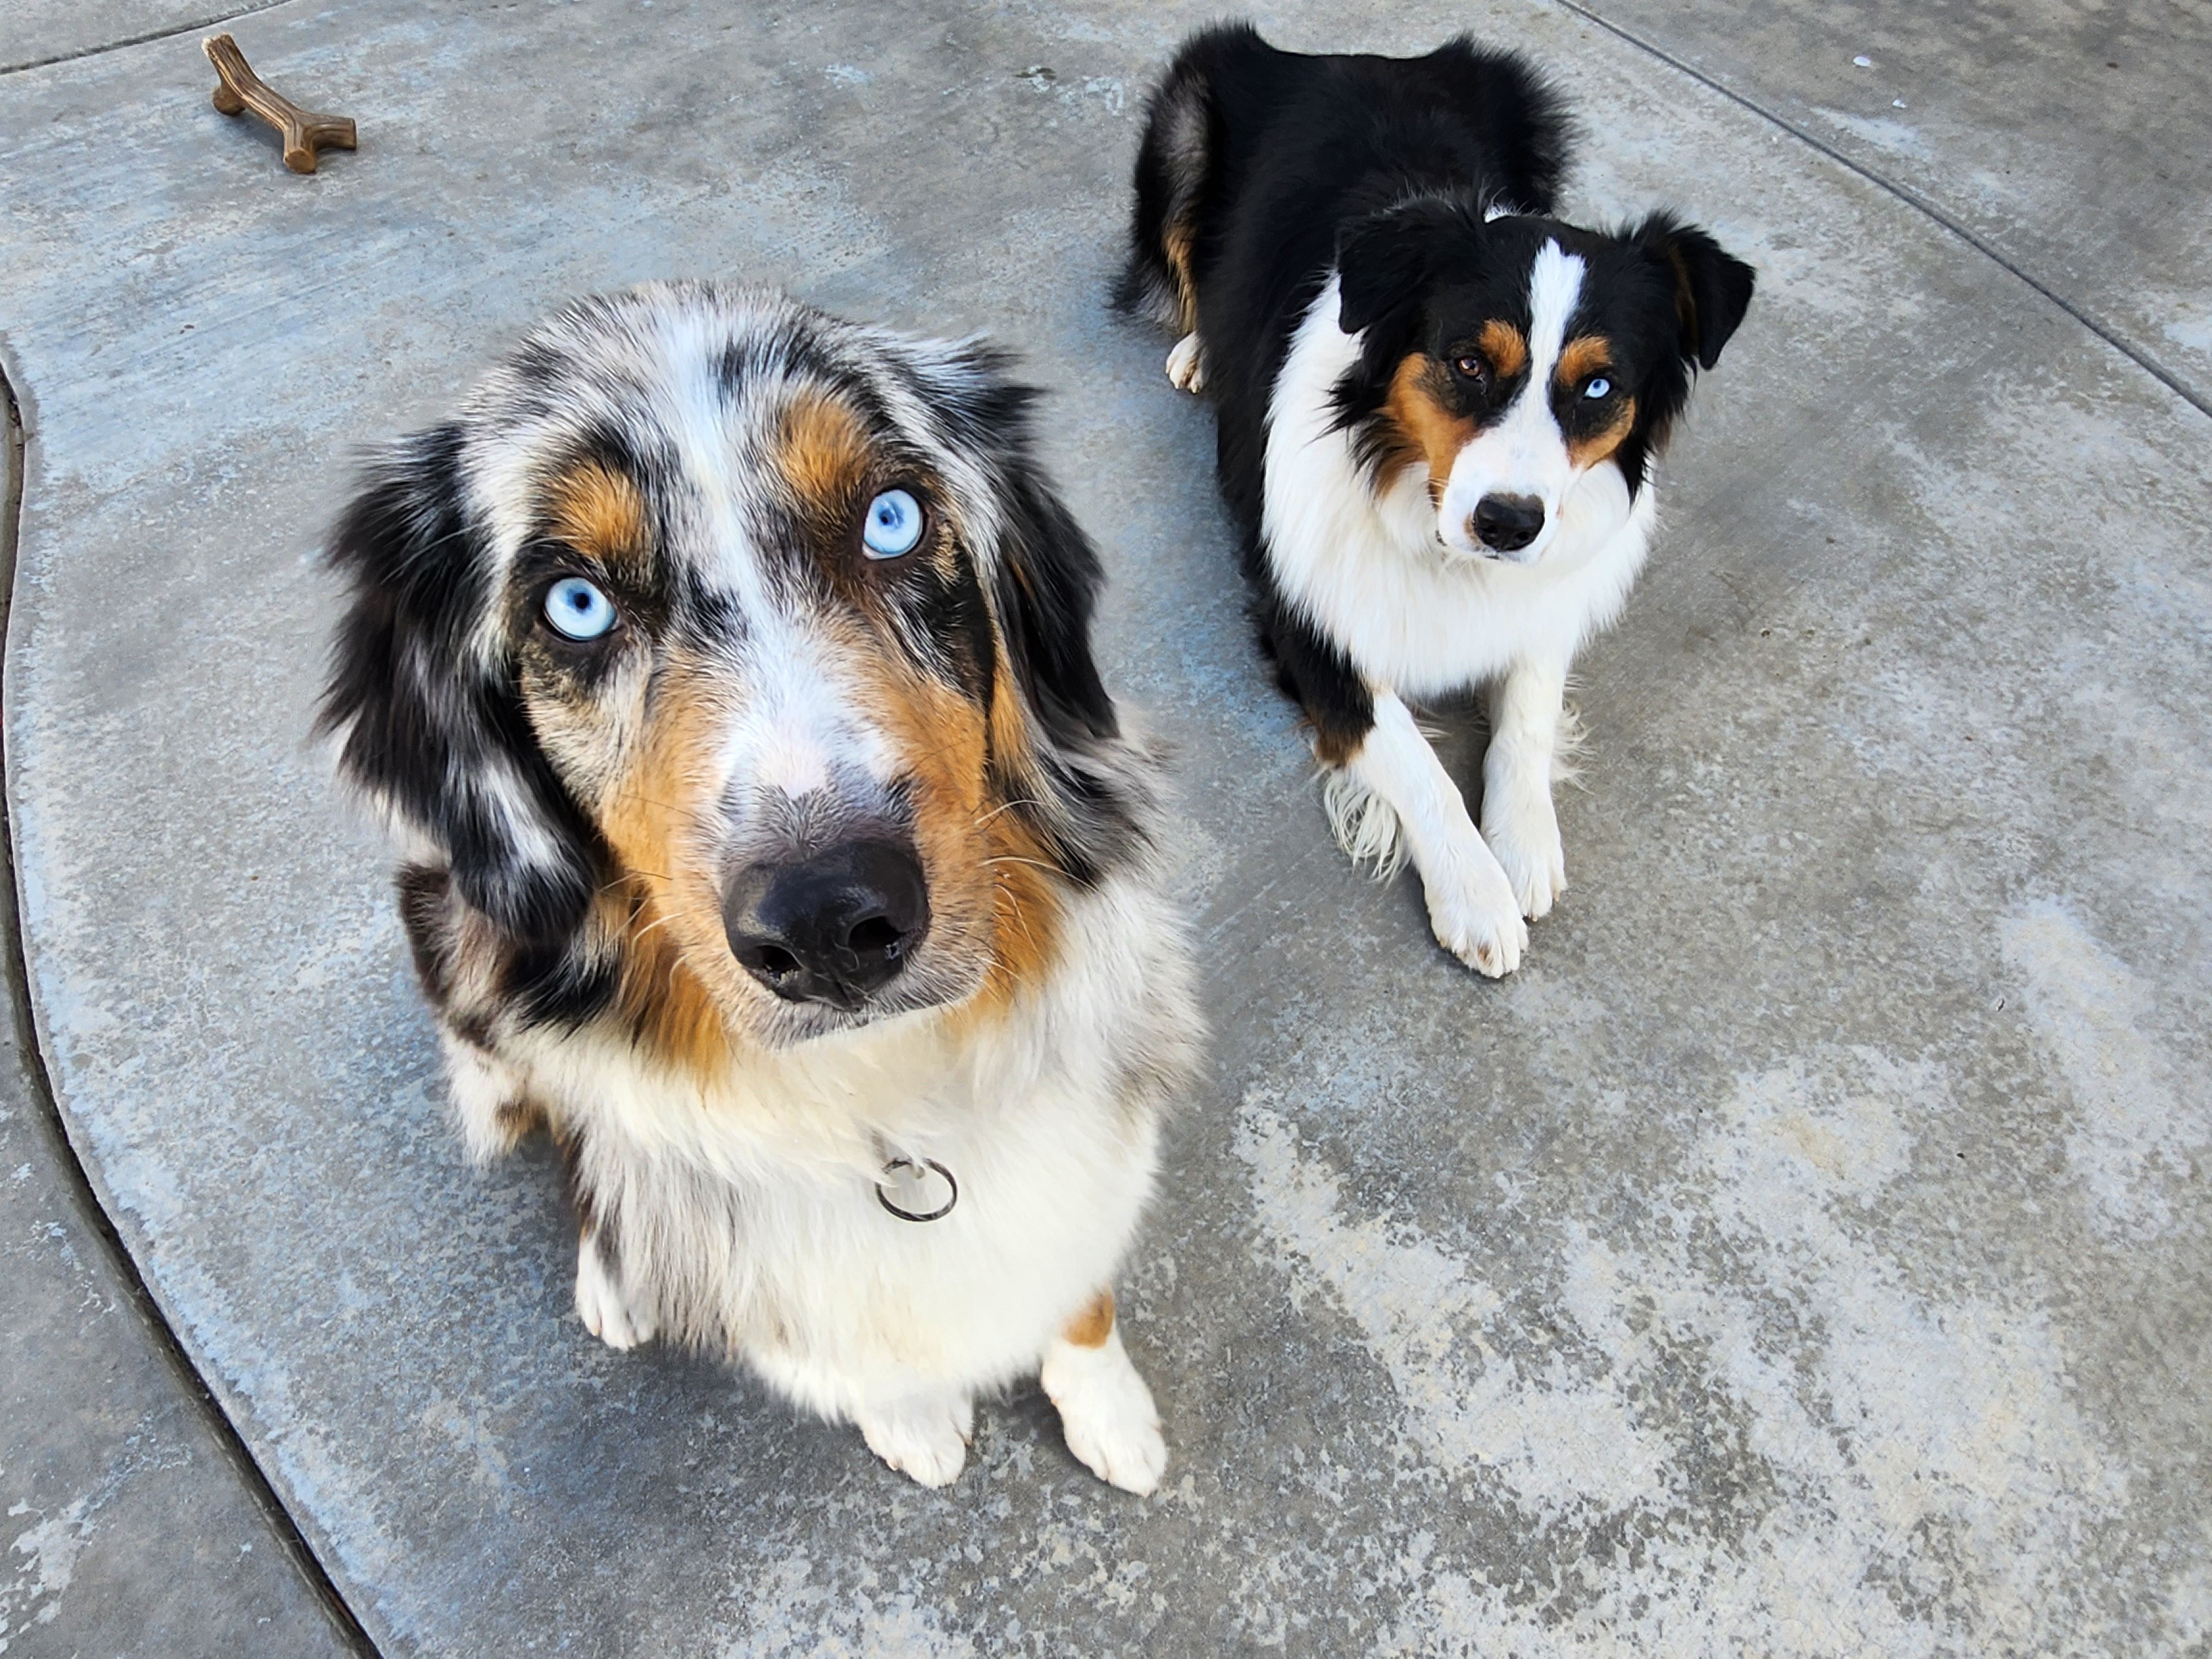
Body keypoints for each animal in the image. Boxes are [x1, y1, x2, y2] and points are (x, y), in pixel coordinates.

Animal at [321, 285, 1203, 1495]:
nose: (829, 920)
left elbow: (1078, 1284)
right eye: (576, 604)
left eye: (891, 518)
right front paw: (910, 1414)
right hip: (452, 933)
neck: (882, 1092)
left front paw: (1105, 1404)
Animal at [1133, 26, 1752, 982]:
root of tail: (1351, 53)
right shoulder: (1309, 626)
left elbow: (1528, 712)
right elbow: (1413, 758)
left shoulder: (1545, 598)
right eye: (1468, 363)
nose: (1508, 524)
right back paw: (1201, 351)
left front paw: (1524, 843)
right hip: (1182, 126)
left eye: (1599, 387)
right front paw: (1477, 892)